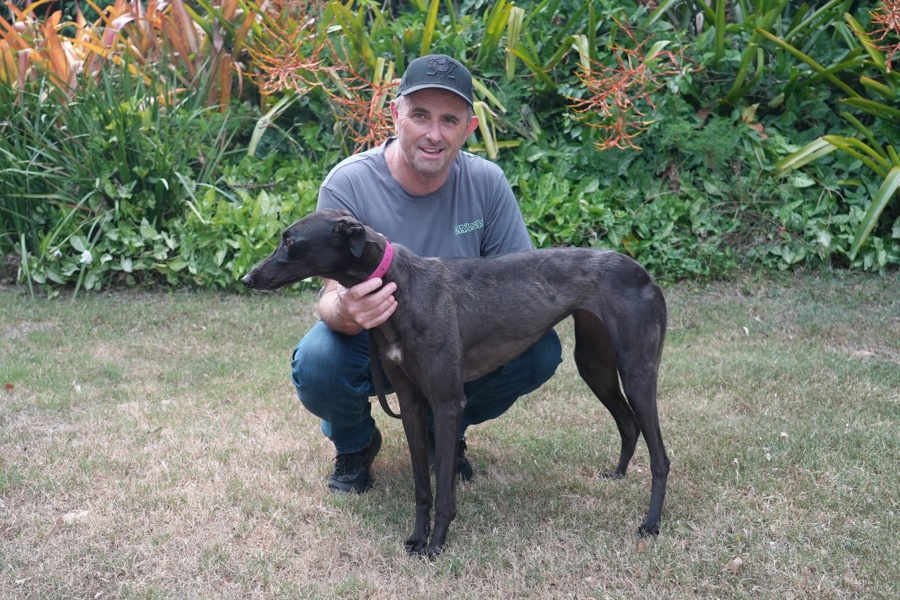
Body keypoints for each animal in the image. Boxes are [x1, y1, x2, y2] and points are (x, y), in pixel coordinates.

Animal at [242, 209, 669, 558]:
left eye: (290, 242)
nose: (247, 278)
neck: (401, 285)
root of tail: (640, 271)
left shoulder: (447, 403)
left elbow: (444, 490)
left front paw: (436, 545)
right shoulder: (413, 405)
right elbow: (422, 486)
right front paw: (417, 539)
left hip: (637, 373)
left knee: (660, 457)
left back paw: (650, 524)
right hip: (594, 365)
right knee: (627, 424)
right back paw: (617, 475)